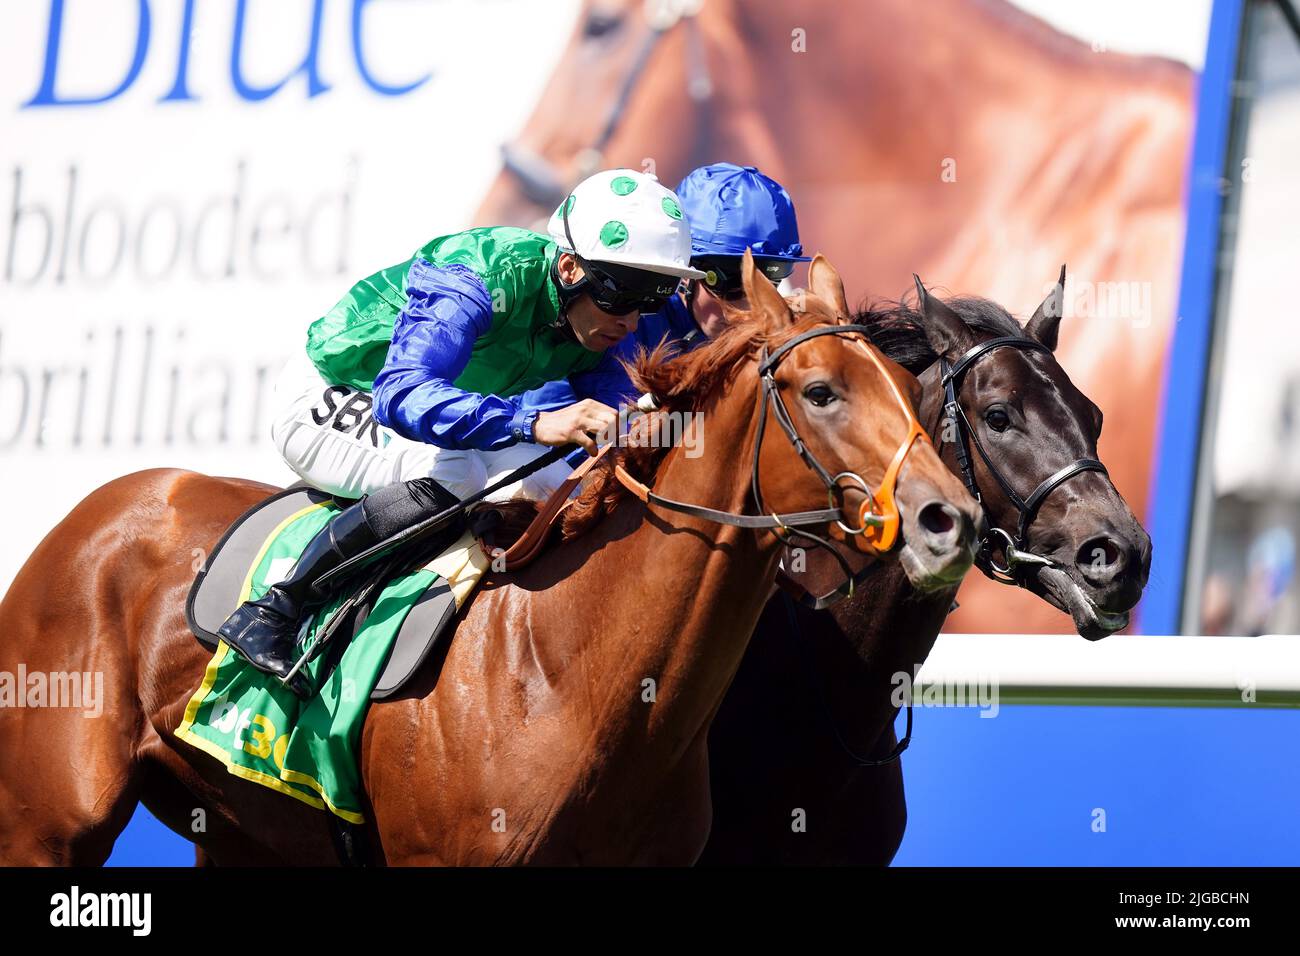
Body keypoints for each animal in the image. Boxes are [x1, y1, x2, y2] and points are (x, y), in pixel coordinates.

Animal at [0, 254, 977, 868]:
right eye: (820, 392)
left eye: (907, 384)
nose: (949, 520)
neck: (566, 677)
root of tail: (103, 508)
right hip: (48, 825)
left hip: (243, 834)